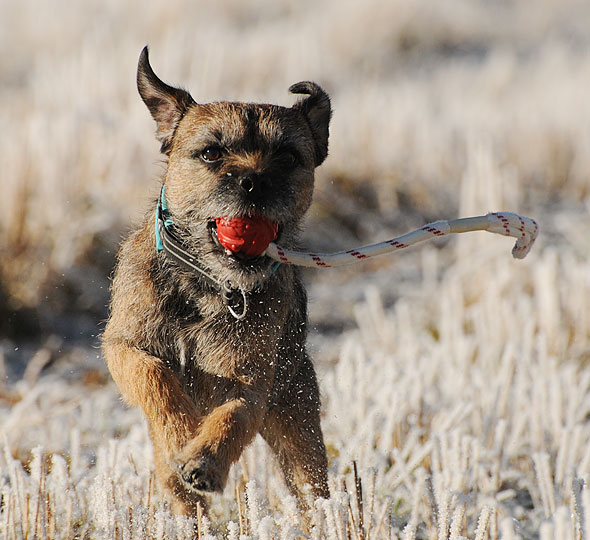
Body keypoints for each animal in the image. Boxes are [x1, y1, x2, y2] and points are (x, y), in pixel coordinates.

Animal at [103, 46, 332, 517]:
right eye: (210, 153)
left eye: (288, 158)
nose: (254, 182)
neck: (206, 283)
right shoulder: (124, 346)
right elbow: (156, 377)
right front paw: (182, 433)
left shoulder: (250, 381)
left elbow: (233, 415)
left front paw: (204, 460)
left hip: (298, 421)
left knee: (311, 486)